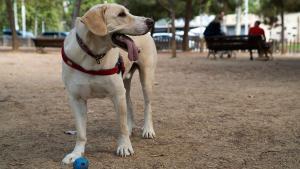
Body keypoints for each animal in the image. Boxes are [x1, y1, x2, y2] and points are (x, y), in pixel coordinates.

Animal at [62, 2, 158, 164]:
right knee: (130, 103)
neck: (93, 56)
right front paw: (76, 153)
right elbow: (81, 132)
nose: (150, 21)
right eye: (121, 14)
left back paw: (147, 129)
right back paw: (131, 127)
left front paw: (125, 147)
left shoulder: (117, 95)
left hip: (146, 78)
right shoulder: (76, 99)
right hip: (125, 83)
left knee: (148, 105)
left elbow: (121, 126)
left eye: (128, 12)